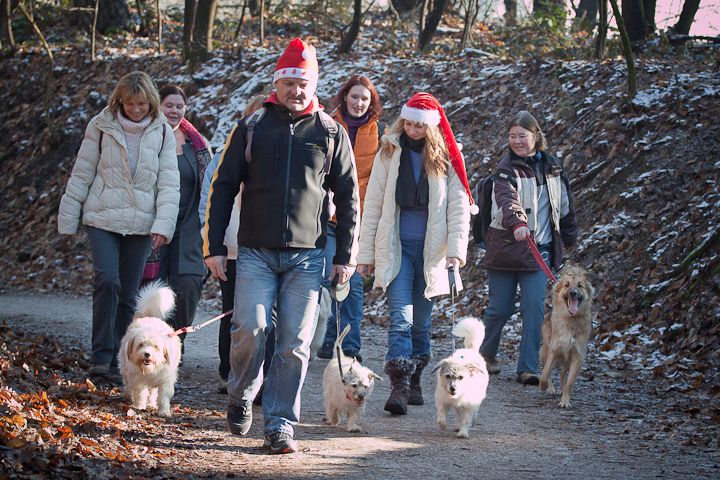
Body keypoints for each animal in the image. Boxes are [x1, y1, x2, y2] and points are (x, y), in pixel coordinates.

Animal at [118, 282, 180, 416]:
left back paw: (151, 404)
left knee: (152, 393)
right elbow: (139, 393)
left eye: (156, 347)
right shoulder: (137, 379)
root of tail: (149, 315)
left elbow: (163, 396)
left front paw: (164, 411)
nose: (147, 354)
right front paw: (139, 406)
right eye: (141, 344)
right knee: (127, 382)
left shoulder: (165, 379)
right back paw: (128, 394)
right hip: (125, 368)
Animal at [536, 266, 592, 408]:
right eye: (567, 285)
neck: (571, 320)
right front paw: (544, 385)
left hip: (568, 362)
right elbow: (545, 373)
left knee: (562, 374)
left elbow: (570, 382)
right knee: (548, 370)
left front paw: (565, 400)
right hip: (545, 351)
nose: (573, 293)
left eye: (580, 285)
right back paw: (550, 388)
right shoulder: (554, 351)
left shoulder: (577, 357)